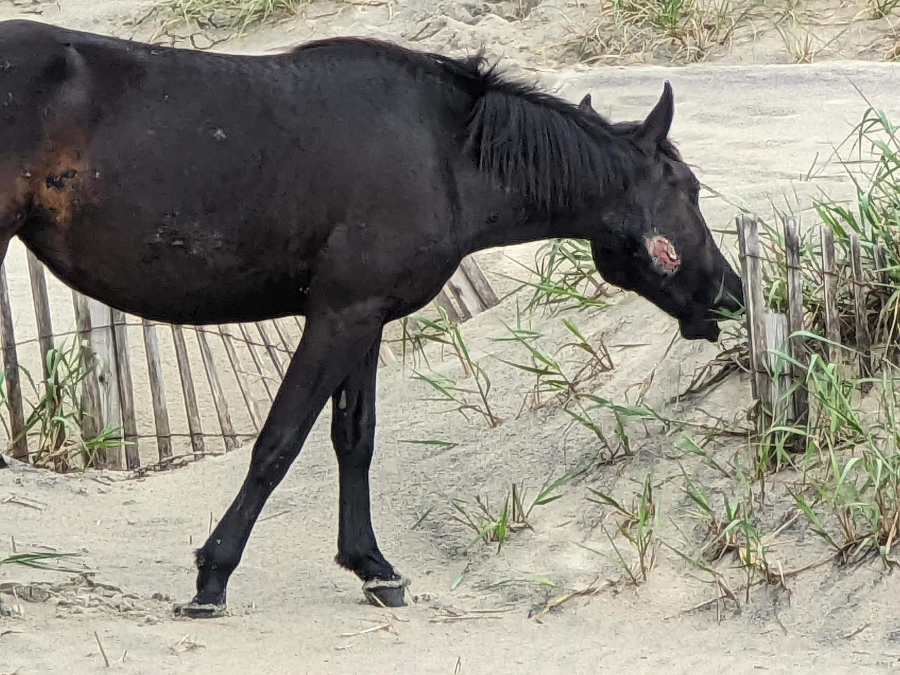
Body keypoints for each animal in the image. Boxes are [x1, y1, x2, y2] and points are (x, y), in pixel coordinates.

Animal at [0, 21, 740, 616]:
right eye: (689, 189)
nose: (730, 293)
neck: (444, 151)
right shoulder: (339, 315)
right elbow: (279, 442)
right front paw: (214, 575)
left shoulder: (365, 317)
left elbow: (354, 437)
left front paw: (372, 567)